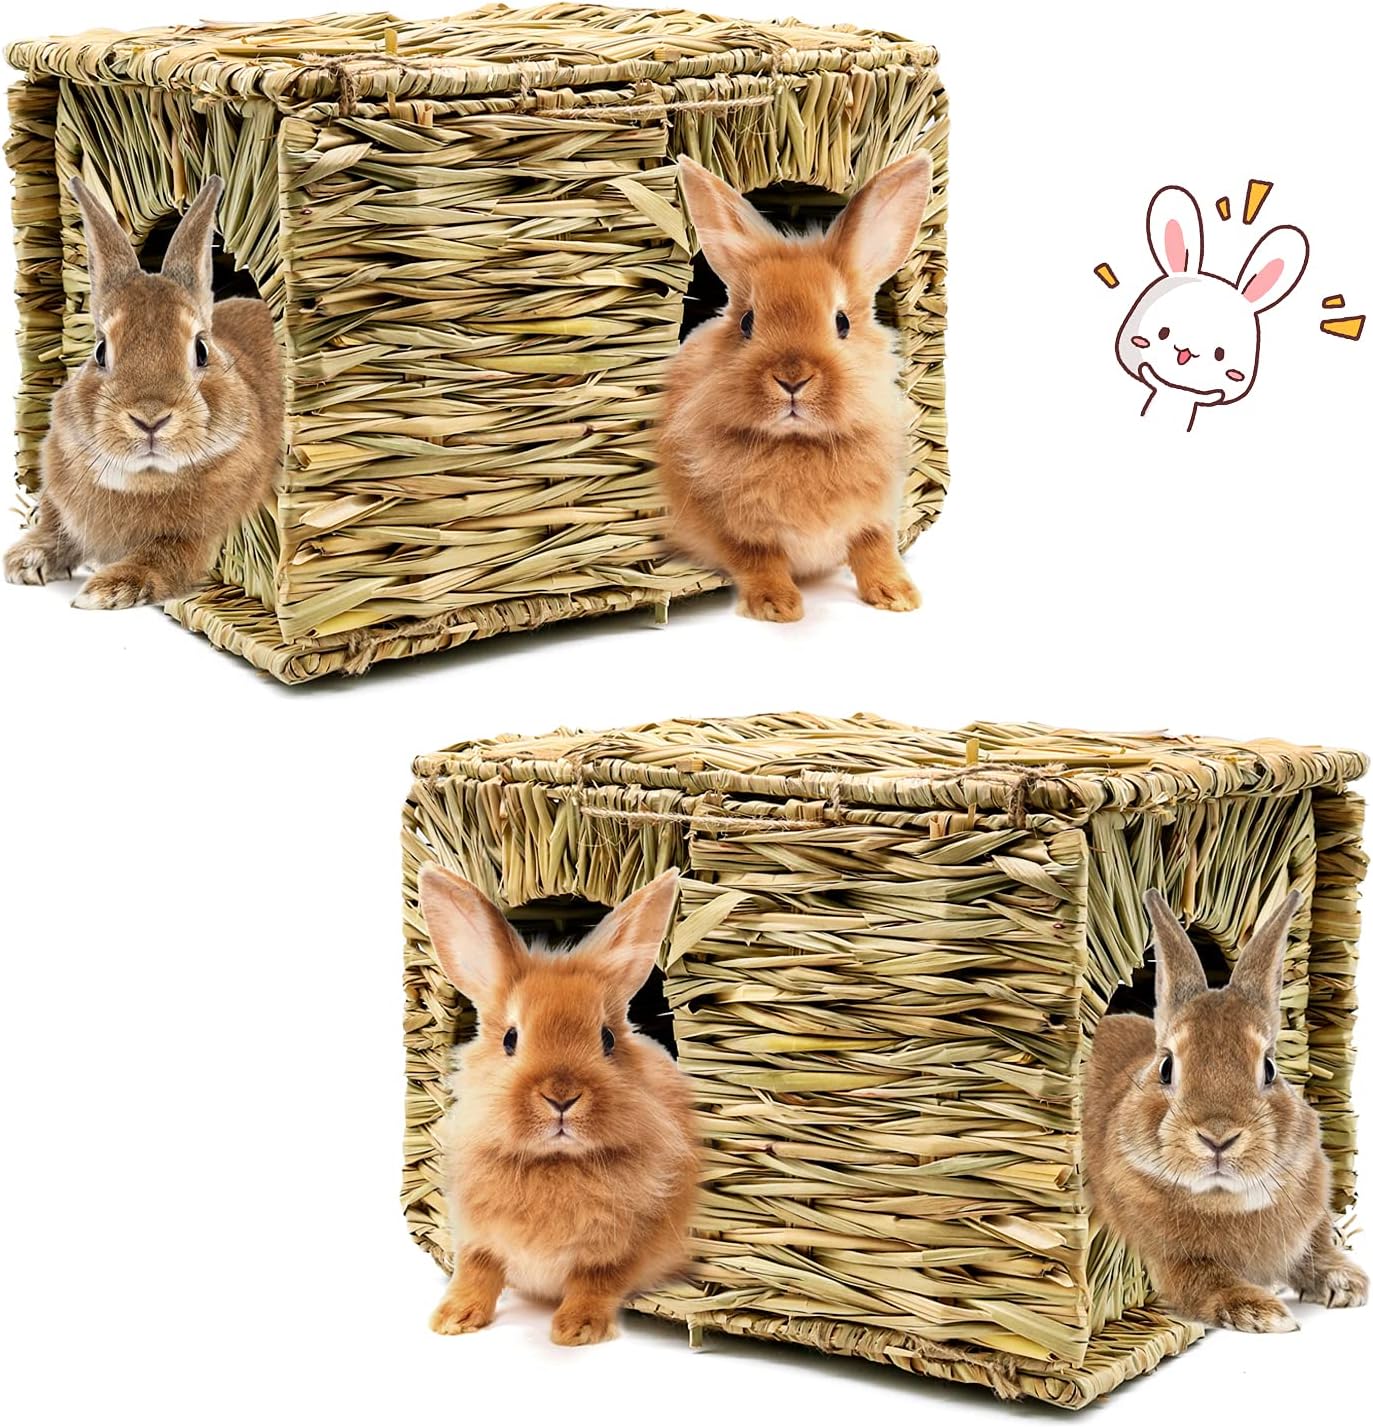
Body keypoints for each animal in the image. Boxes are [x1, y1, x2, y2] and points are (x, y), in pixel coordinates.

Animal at [4, 175, 282, 609]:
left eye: (201, 350)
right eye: (100, 351)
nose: (150, 418)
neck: (144, 480)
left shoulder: (194, 539)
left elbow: (162, 558)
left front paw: (104, 591)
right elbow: (55, 526)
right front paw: (24, 560)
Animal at [416, 865, 699, 1346]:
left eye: (607, 1039)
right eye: (510, 1039)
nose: (561, 1096)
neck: (553, 1162)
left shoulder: (623, 1249)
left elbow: (596, 1280)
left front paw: (576, 1329)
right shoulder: (476, 1237)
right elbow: (476, 1270)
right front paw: (453, 1319)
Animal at [659, 152, 933, 622]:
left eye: (842, 322)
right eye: (747, 322)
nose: (792, 379)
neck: (799, 443)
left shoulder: (875, 515)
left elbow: (875, 548)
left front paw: (898, 596)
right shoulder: (731, 527)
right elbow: (758, 558)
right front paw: (777, 606)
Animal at [1083, 889, 1367, 1332]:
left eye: (1269, 1068)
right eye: (1166, 1067)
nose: (1218, 1138)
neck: (1224, 1200)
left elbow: (1314, 1248)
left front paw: (1346, 1283)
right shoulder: (1173, 1261)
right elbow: (1206, 1281)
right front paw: (1265, 1313)